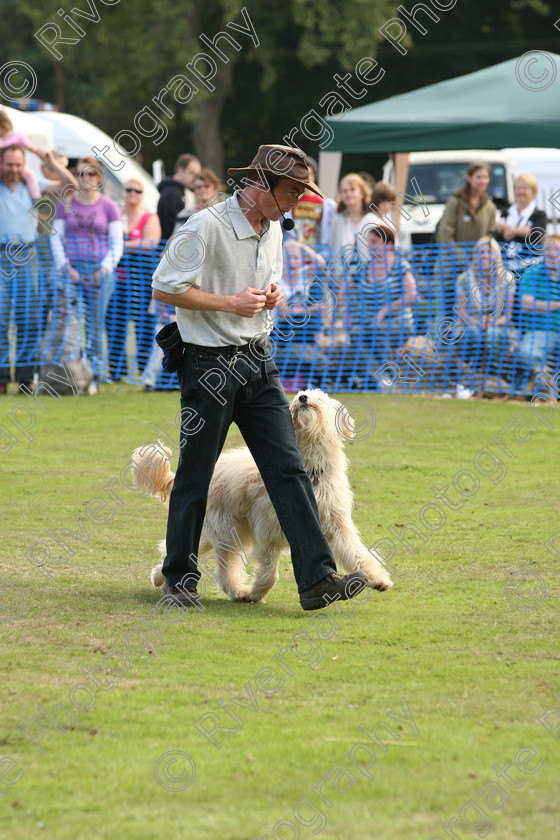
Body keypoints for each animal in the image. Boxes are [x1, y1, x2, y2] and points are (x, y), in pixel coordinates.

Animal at [131, 390, 394, 600]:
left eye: (319, 396)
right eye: (299, 395)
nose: (302, 397)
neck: (309, 470)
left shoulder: (336, 523)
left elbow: (356, 552)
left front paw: (378, 578)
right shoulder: (268, 530)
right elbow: (269, 571)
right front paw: (255, 593)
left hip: (214, 529)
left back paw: (159, 576)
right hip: (228, 530)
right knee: (223, 569)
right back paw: (238, 592)